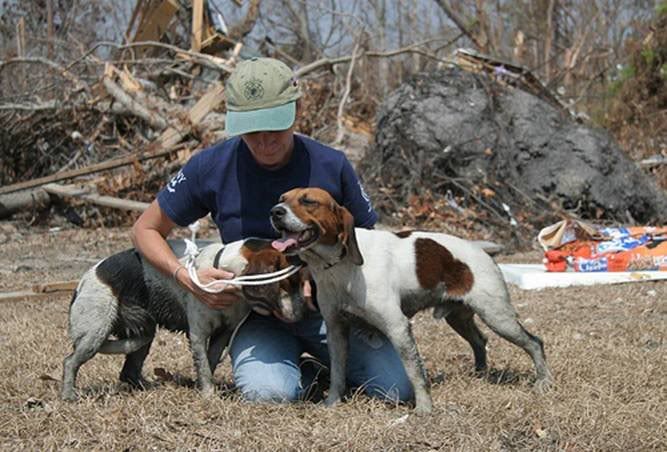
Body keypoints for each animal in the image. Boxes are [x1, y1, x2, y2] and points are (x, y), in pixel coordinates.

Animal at [61, 238, 306, 400]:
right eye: (288, 283)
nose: (303, 312)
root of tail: (83, 281)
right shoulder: (197, 333)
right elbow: (204, 365)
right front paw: (208, 395)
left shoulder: (223, 333)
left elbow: (210, 362)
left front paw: (202, 387)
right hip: (96, 332)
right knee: (70, 362)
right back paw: (68, 395)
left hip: (143, 332)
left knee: (128, 372)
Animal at [272, 187, 552, 414]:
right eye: (282, 198)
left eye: (308, 201)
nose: (275, 212)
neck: (340, 267)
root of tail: (481, 251)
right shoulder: (336, 330)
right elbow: (338, 373)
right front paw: (332, 402)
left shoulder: (398, 328)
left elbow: (415, 372)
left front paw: (425, 409)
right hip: (459, 319)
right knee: (480, 341)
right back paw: (480, 374)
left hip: (498, 317)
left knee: (535, 342)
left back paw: (543, 382)